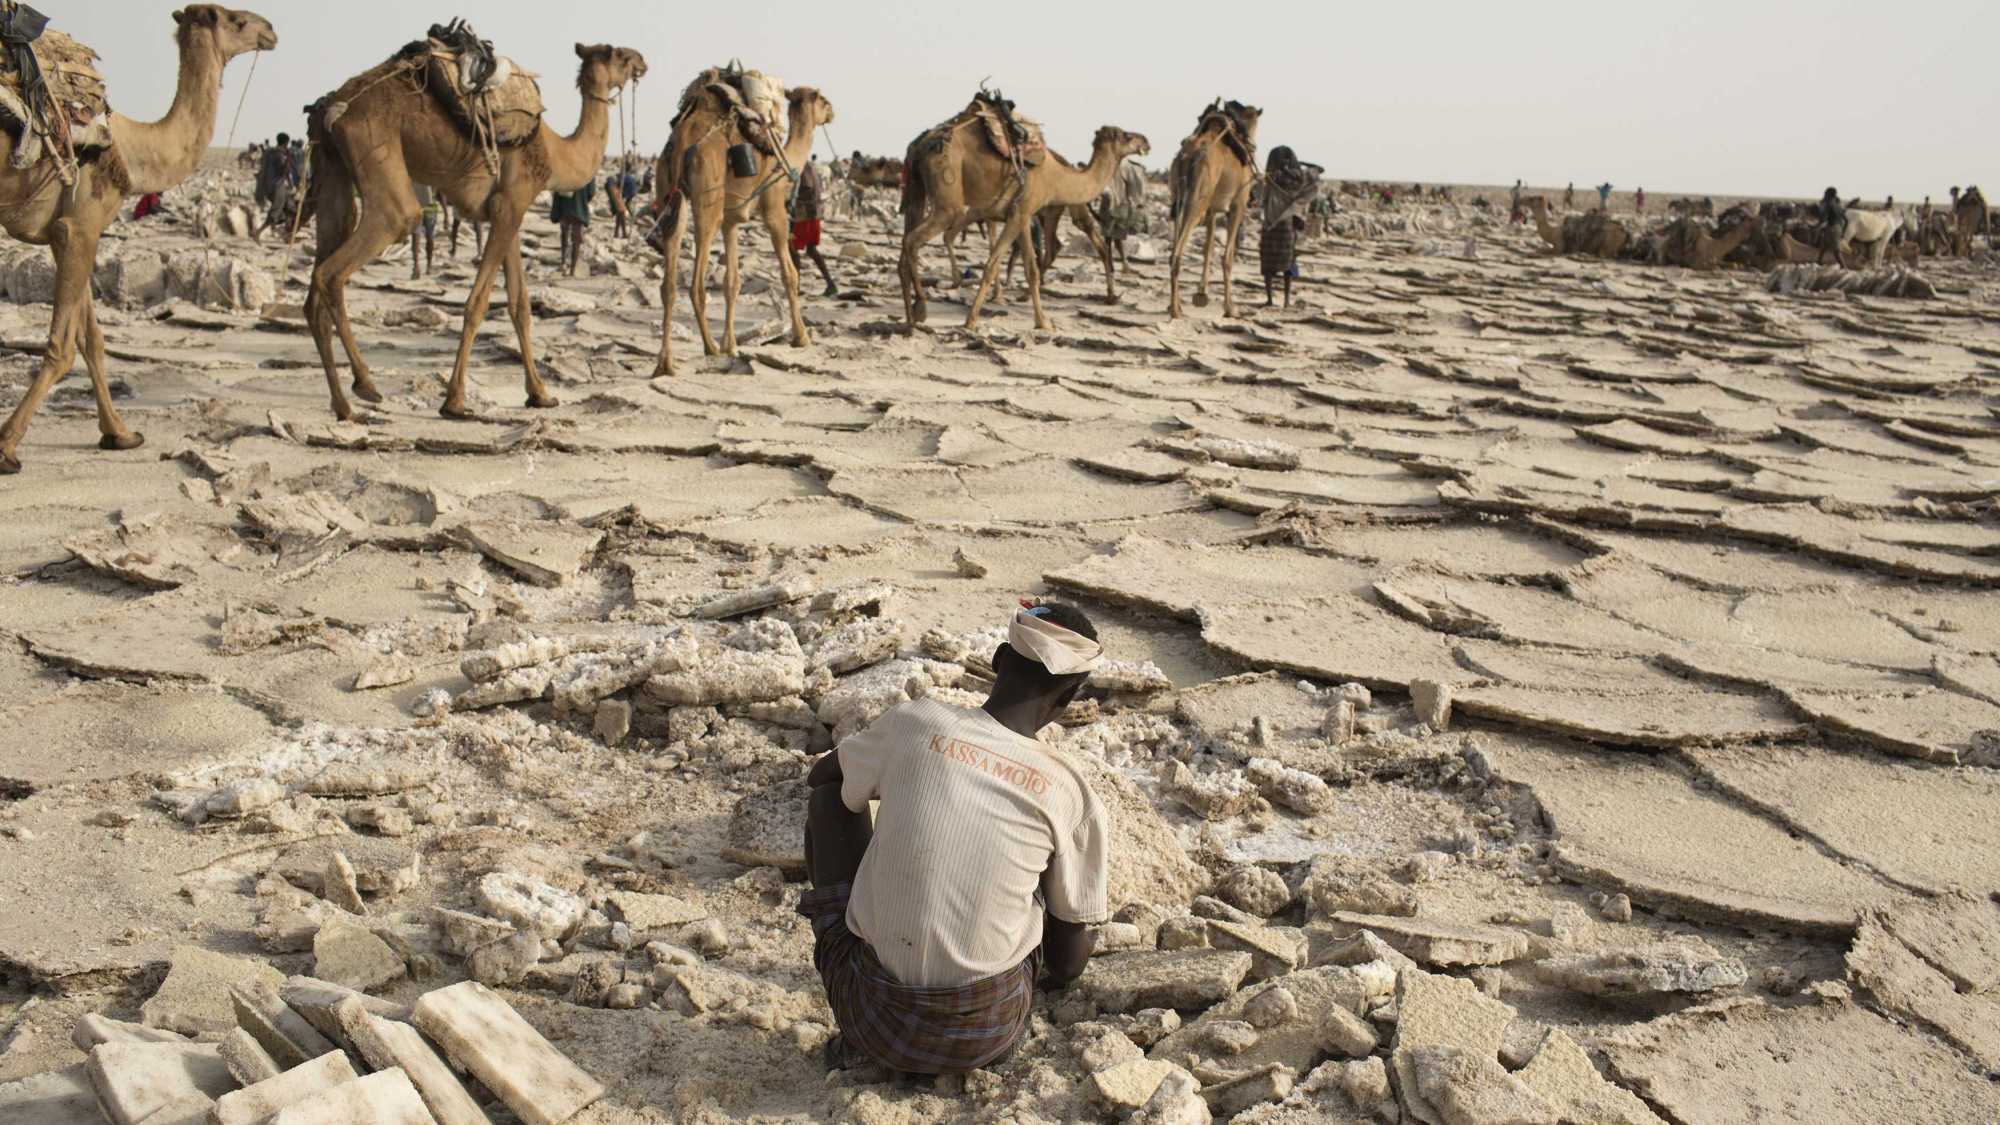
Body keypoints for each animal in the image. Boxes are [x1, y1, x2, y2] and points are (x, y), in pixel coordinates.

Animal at [0, 7, 282, 472]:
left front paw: (119, 433)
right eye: (236, 20)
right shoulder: (81, 226)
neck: (130, 150)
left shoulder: (67, 232)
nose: (271, 30)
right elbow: (62, 345)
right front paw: (6, 447)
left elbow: (91, 340)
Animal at [306, 41, 648, 420]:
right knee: (344, 262)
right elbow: (477, 303)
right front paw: (455, 401)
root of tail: (331, 107)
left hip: (332, 166)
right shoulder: (508, 206)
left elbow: (519, 304)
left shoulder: (511, 213)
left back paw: (343, 406)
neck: (556, 153)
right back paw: (366, 384)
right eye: (621, 56)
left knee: (317, 284)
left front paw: (540, 394)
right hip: (376, 151)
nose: (642, 62)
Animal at [652, 80, 832, 376]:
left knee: (669, 275)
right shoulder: (775, 211)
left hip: (669, 190)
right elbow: (789, 274)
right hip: (708, 198)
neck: (785, 160)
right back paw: (709, 347)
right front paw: (801, 337)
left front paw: (731, 344)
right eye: (824, 101)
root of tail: (683, 139)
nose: (832, 113)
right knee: (696, 282)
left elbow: (732, 282)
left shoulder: (731, 220)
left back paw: (666, 363)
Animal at [960, 129, 1152, 328]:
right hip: (1050, 213)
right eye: (1127, 136)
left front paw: (994, 298)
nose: (1145, 142)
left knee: (1085, 242)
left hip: (1061, 211)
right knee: (1059, 246)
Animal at [1168, 99, 1256, 318]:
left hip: (1178, 195)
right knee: (1178, 251)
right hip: (1197, 200)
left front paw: (1201, 294)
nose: (1252, 145)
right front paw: (1230, 308)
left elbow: (1208, 247)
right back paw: (1175, 309)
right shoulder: (1238, 204)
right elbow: (1228, 256)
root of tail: (1190, 156)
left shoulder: (1213, 209)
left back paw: (1175, 305)